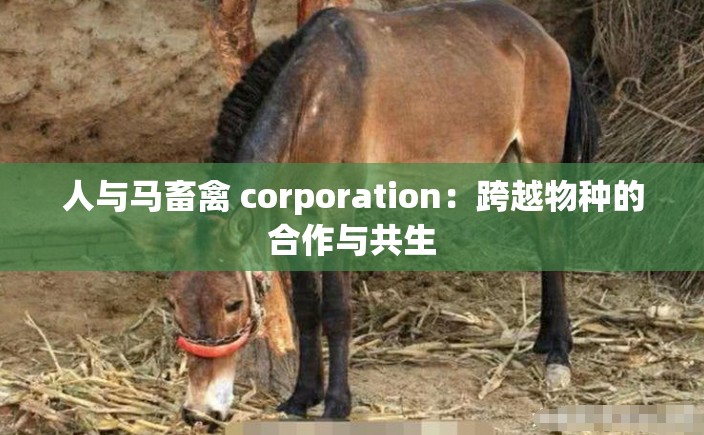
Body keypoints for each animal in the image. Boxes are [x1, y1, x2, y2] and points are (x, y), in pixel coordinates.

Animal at [117, 0, 599, 428]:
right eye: (173, 302)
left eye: (233, 303)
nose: (199, 413)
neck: (315, 99)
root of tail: (545, 39)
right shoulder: (293, 222)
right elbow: (307, 310)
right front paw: (301, 397)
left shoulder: (337, 218)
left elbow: (336, 312)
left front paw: (336, 404)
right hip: (509, 167)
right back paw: (543, 340)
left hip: (538, 158)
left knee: (553, 243)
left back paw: (559, 354)